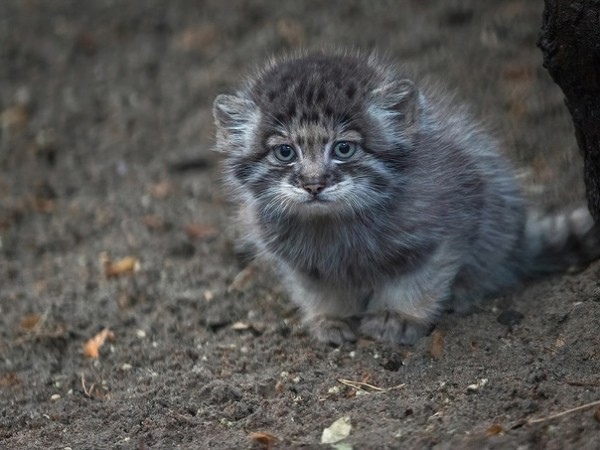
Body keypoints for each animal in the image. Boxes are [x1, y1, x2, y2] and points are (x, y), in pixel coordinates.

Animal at [213, 51, 596, 344]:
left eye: (343, 148)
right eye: (285, 153)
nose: (313, 184)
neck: (337, 226)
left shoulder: (449, 227)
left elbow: (416, 282)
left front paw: (396, 317)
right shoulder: (299, 262)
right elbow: (319, 290)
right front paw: (331, 318)